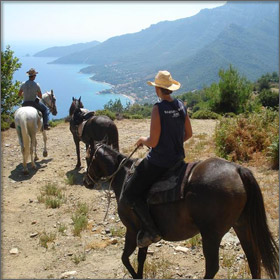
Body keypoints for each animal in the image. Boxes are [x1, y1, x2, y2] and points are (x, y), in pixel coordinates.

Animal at [83, 143, 278, 278]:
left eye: (87, 159)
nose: (86, 182)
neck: (124, 178)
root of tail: (238, 169)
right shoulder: (143, 235)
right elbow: (141, 258)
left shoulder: (131, 230)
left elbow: (125, 259)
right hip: (241, 226)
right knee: (253, 260)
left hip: (211, 235)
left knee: (212, 268)